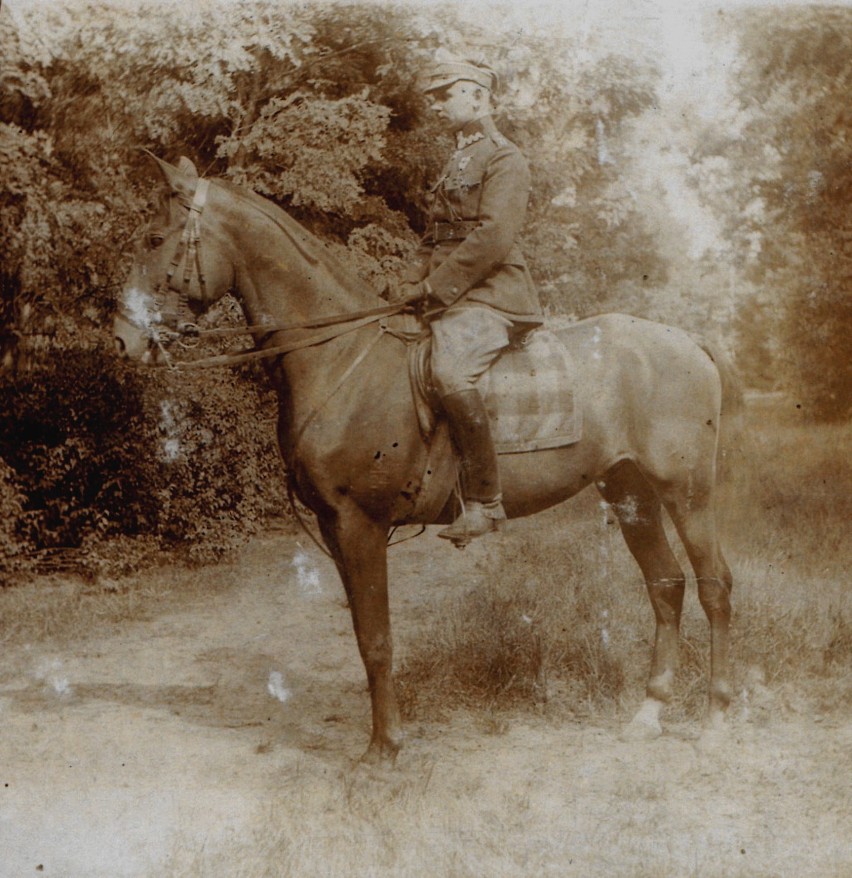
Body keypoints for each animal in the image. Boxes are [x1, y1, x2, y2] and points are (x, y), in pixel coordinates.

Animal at [116, 158, 736, 764]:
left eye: (153, 237)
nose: (123, 340)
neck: (343, 358)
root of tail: (689, 341)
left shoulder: (360, 524)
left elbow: (377, 640)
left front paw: (383, 752)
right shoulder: (335, 528)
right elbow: (365, 638)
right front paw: (382, 741)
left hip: (687, 493)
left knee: (714, 585)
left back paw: (715, 721)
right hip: (629, 490)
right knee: (665, 584)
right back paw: (649, 714)